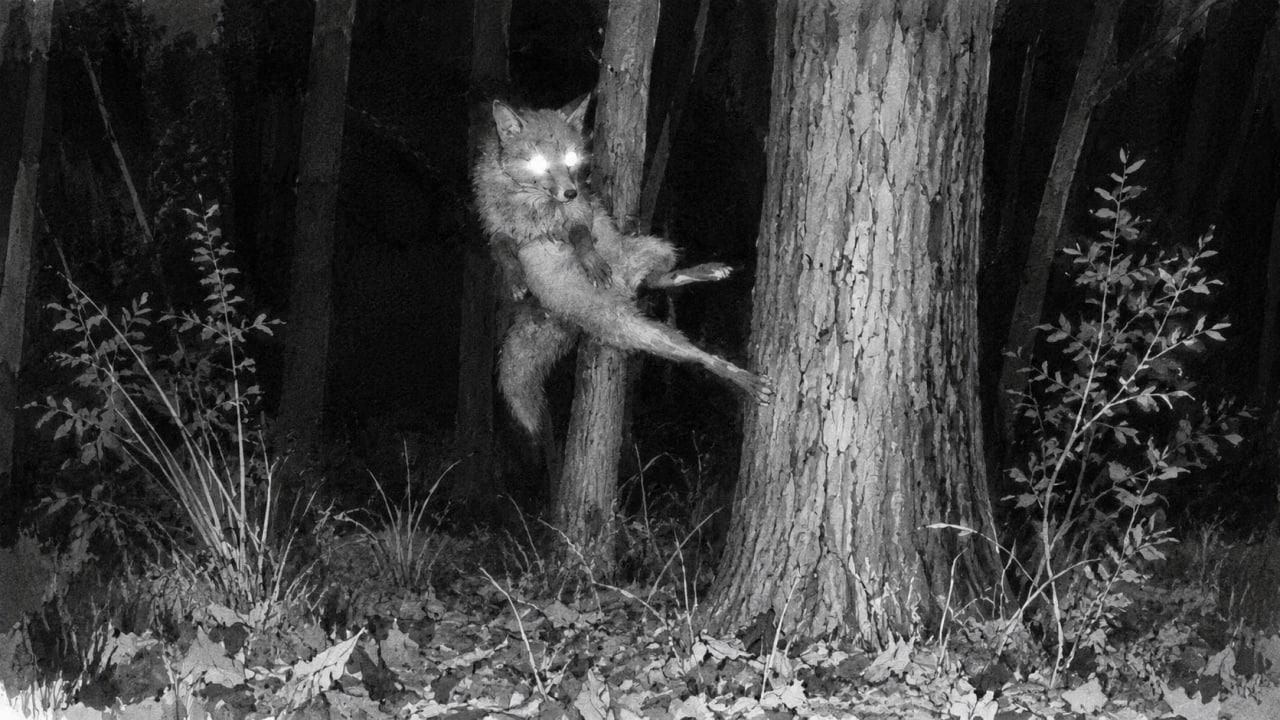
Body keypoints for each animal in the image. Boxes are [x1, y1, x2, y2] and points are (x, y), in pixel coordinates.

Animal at [472, 97, 773, 436]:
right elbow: (502, 252)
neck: (531, 204)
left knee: (667, 298)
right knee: (681, 332)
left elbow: (581, 234)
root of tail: (624, 291)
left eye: (570, 157)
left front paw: (591, 261)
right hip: (632, 326)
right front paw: (513, 279)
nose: (570, 192)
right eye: (538, 162)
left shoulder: (580, 212)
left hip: (656, 250)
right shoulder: (497, 229)